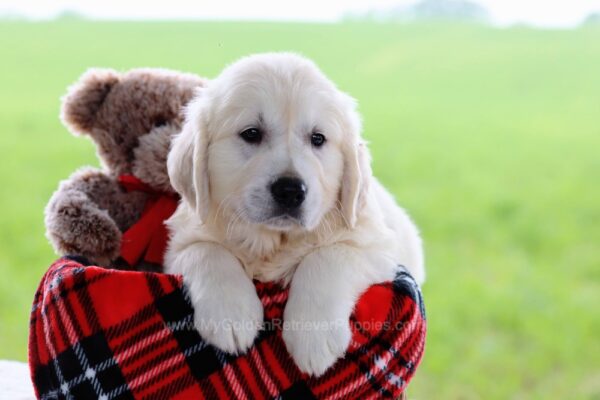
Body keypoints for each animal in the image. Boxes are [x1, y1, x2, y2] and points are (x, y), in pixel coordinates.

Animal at [166, 52, 424, 376]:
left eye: (318, 139)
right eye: (251, 133)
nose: (290, 191)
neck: (275, 241)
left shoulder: (377, 246)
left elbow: (327, 255)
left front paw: (313, 336)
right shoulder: (182, 239)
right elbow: (206, 251)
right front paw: (230, 316)